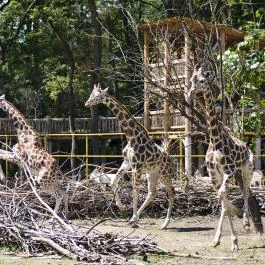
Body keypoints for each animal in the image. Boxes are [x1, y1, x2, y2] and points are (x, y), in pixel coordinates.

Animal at [189, 66, 260, 250]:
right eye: (191, 80)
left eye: (202, 81)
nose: (190, 93)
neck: (215, 140)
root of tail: (247, 146)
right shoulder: (214, 175)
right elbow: (222, 198)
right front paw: (219, 238)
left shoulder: (228, 170)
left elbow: (223, 195)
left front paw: (234, 239)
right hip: (235, 173)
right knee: (235, 192)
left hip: (247, 168)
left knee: (246, 190)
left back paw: (246, 222)